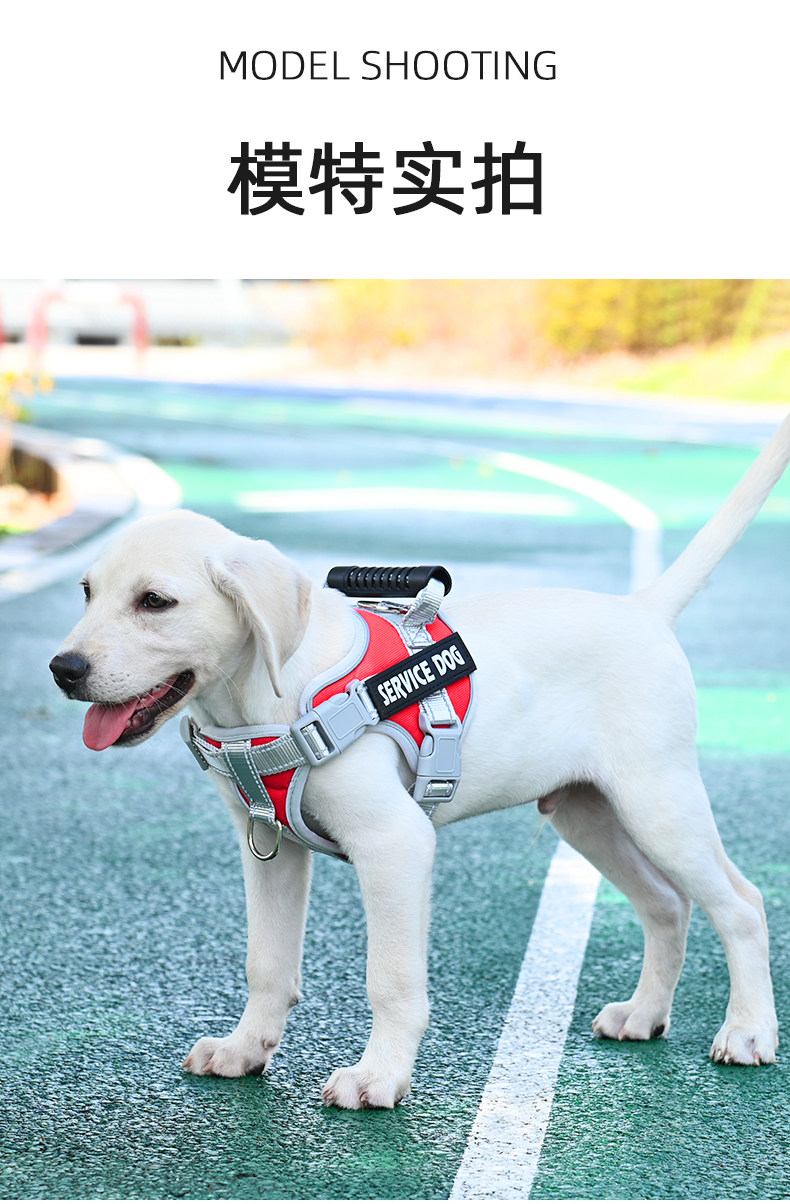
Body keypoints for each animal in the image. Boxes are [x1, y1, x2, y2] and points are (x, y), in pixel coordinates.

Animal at [49, 412, 790, 1108]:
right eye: (85, 592)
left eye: (155, 601)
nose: (63, 669)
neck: (269, 700)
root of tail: (644, 611)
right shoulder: (270, 850)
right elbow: (268, 964)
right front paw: (245, 1048)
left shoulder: (395, 845)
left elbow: (391, 980)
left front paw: (379, 1077)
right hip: (588, 815)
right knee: (667, 904)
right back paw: (645, 1014)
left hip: (658, 802)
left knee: (742, 904)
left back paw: (748, 1031)